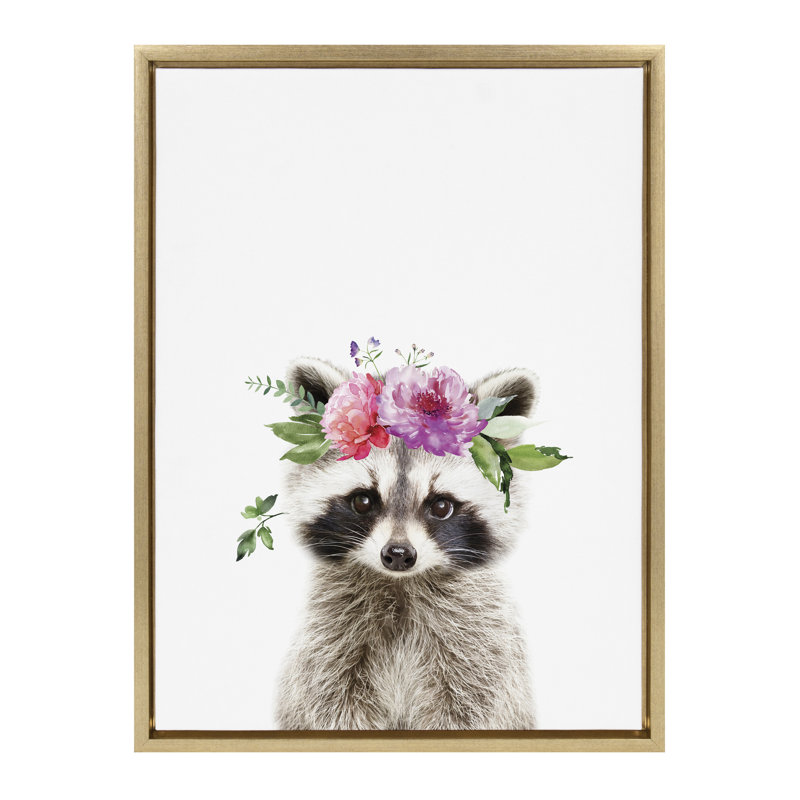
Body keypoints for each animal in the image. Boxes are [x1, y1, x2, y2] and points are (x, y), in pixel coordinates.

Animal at [275, 357, 539, 730]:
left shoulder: (480, 647)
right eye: (363, 501)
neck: (401, 586)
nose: (398, 555)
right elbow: (329, 704)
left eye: (441, 506)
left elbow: (471, 708)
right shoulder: (328, 642)